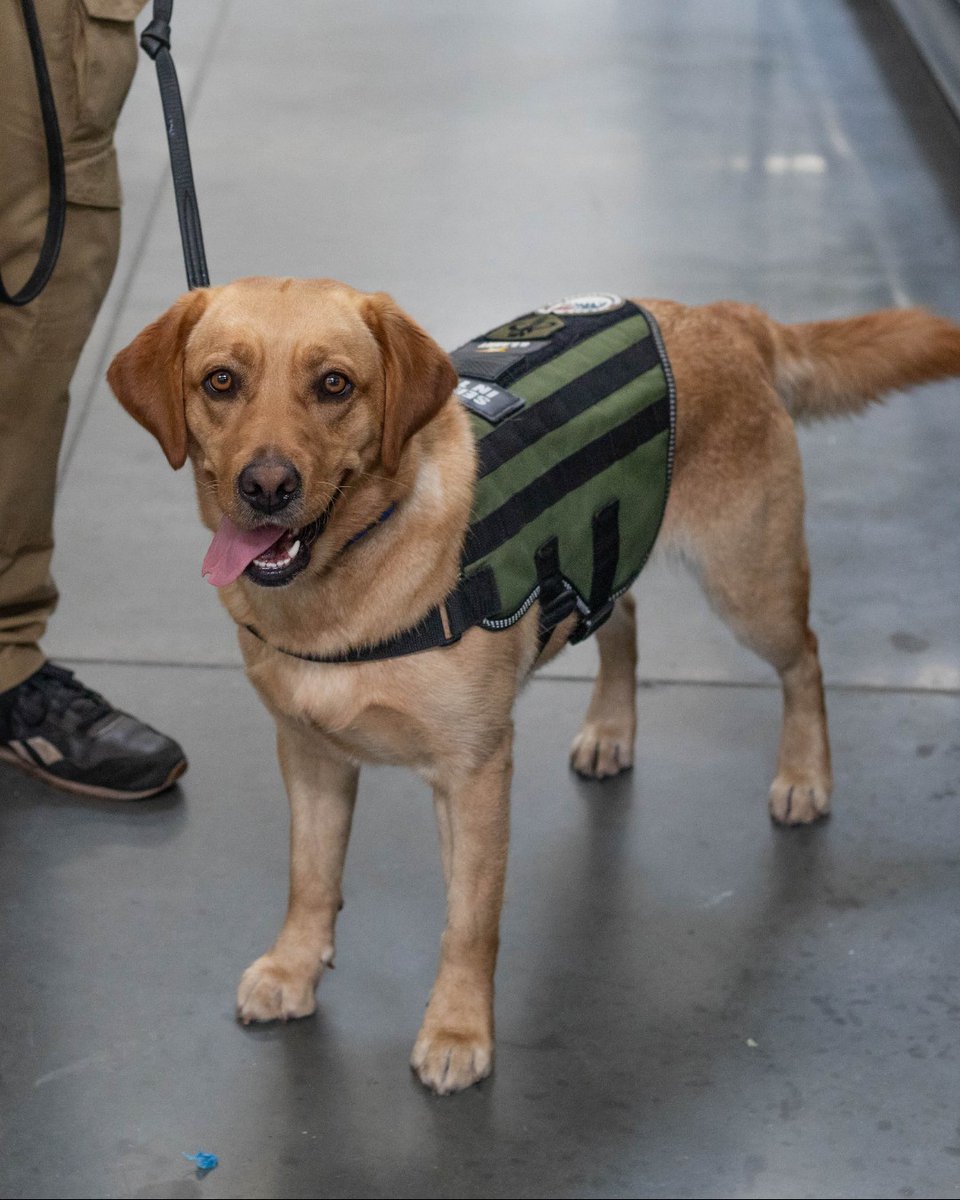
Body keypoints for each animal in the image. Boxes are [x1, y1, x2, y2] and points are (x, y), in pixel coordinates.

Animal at [105, 280, 960, 1099]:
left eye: (334, 385)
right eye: (220, 381)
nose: (266, 486)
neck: (351, 581)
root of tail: (723, 316)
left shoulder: (475, 775)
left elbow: (469, 920)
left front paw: (457, 1031)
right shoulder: (311, 758)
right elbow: (309, 879)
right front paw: (293, 967)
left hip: (751, 585)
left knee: (806, 660)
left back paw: (805, 775)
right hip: (614, 550)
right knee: (624, 620)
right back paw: (613, 728)